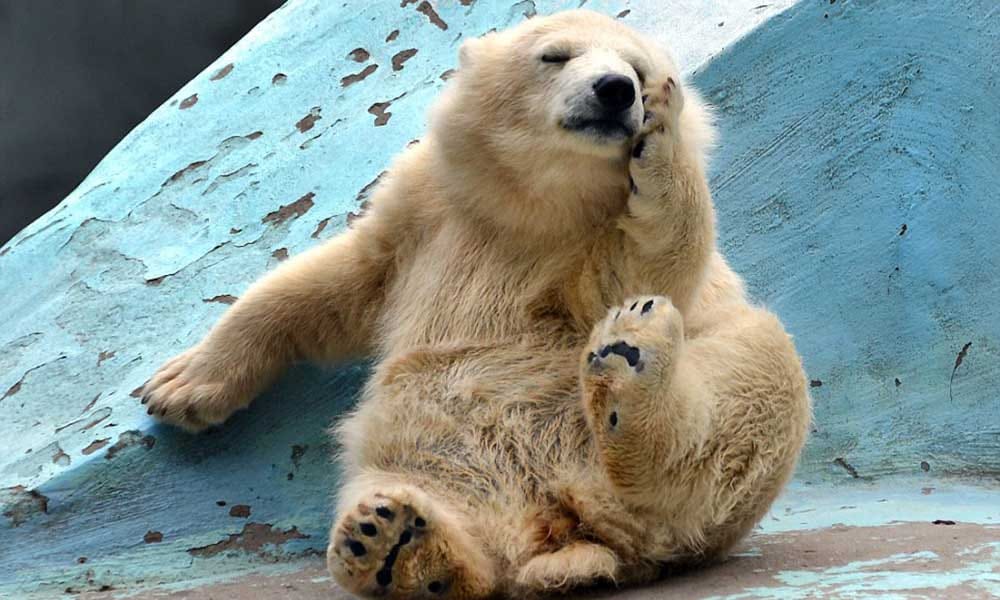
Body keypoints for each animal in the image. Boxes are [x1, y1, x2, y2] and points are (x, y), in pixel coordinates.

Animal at [141, 9, 811, 599]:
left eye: (639, 69)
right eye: (555, 55)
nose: (617, 90)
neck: (530, 207)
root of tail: (568, 531)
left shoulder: (582, 250)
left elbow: (638, 274)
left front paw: (664, 133)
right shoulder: (426, 207)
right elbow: (333, 286)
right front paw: (179, 386)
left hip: (682, 424)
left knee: (755, 381)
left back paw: (630, 368)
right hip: (429, 453)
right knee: (424, 504)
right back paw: (392, 545)